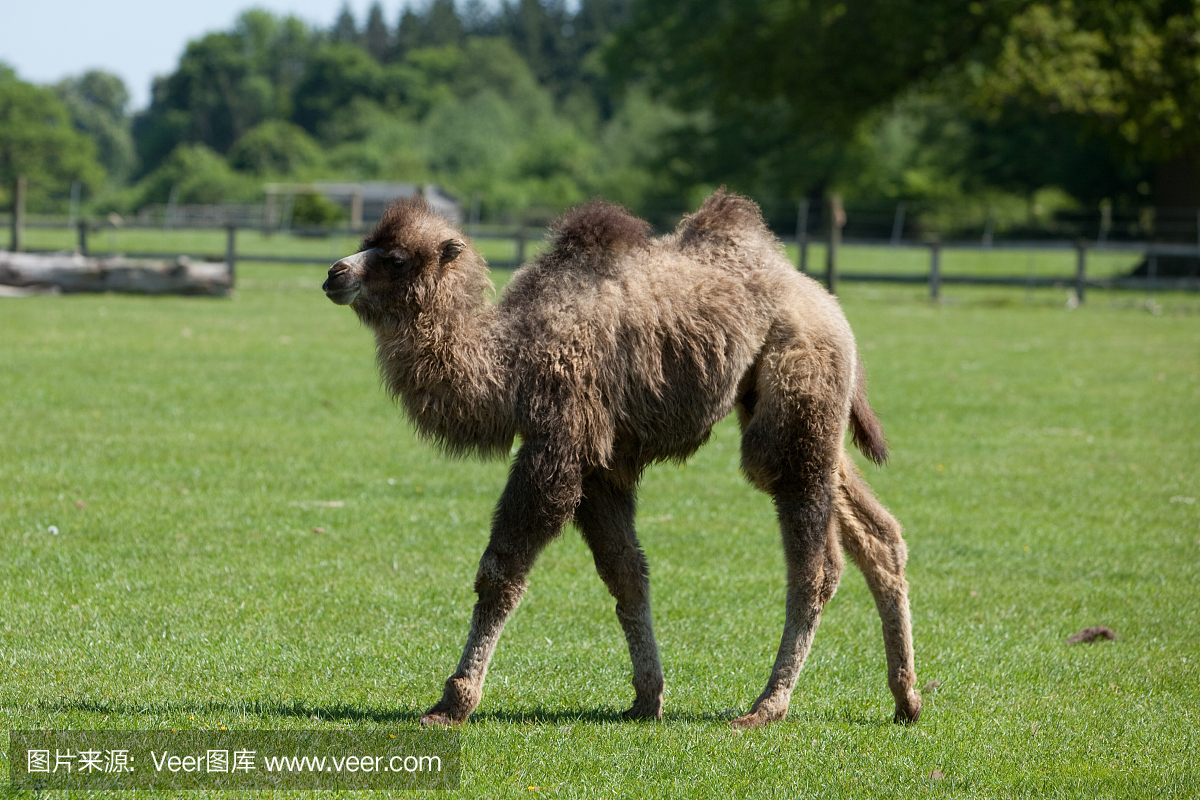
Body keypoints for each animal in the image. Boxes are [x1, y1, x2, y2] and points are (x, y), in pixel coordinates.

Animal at [319, 190, 916, 729]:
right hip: (798, 409)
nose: (333, 273)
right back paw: (905, 699)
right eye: (365, 243)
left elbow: (501, 571)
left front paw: (453, 702)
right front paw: (647, 699)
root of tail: (826, 301)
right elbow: (627, 573)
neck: (510, 360)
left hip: (797, 391)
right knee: (879, 534)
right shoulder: (601, 465)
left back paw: (768, 705)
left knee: (814, 559)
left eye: (396, 258)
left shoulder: (559, 442)